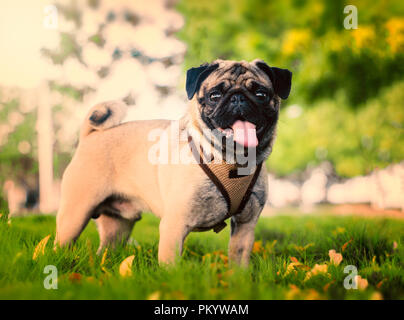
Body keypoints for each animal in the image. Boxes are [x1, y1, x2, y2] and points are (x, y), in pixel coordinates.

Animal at [55, 59, 292, 264]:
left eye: (261, 94)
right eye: (215, 95)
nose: (238, 98)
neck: (233, 160)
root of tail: (91, 136)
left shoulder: (245, 226)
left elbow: (238, 263)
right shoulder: (174, 225)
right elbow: (171, 266)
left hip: (117, 226)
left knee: (106, 250)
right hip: (74, 216)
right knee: (60, 245)